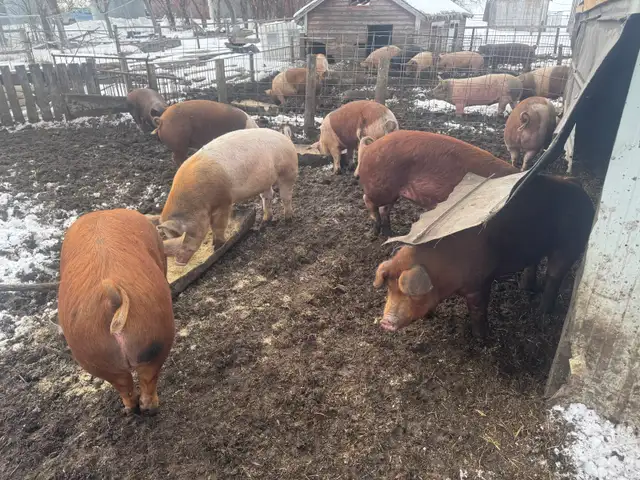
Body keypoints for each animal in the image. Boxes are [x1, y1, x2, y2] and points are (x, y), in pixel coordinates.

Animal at [58, 209, 174, 414]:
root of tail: (111, 298)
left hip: (94, 352)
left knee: (124, 385)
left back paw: (132, 409)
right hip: (156, 334)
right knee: (146, 382)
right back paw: (151, 407)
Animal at [158, 128, 298, 266]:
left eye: (183, 234)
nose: (178, 262)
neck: (199, 203)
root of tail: (287, 138)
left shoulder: (224, 201)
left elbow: (218, 225)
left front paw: (218, 246)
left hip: (288, 172)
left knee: (286, 196)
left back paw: (288, 219)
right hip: (266, 181)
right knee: (268, 196)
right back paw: (264, 221)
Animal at [357, 130, 518, 236]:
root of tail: (368, 148)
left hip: (392, 192)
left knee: (385, 209)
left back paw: (391, 234)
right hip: (381, 188)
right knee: (368, 200)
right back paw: (374, 234)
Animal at [374, 174, 594, 338]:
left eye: (410, 293)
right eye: (390, 288)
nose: (385, 322)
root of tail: (578, 187)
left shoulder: (480, 282)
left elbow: (478, 310)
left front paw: (483, 338)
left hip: (570, 244)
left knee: (555, 275)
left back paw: (542, 313)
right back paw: (526, 288)